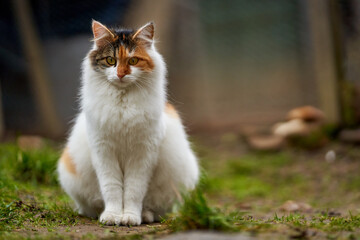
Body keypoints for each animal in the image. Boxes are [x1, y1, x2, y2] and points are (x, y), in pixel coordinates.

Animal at [57, 20, 201, 225]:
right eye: (111, 60)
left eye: (133, 61)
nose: (120, 74)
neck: (122, 105)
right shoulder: (104, 152)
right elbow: (112, 189)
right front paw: (112, 216)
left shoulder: (142, 154)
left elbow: (133, 191)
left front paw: (130, 217)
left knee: (153, 208)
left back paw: (145, 215)